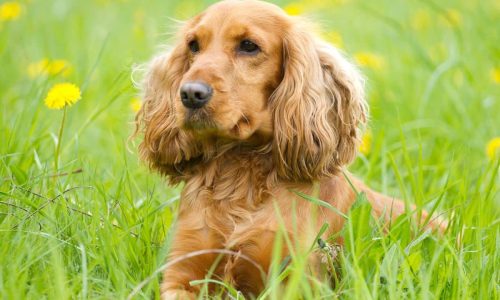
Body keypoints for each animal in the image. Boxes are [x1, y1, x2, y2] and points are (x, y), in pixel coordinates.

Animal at [133, 0, 446, 298]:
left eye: (249, 46)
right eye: (193, 45)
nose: (189, 94)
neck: (241, 172)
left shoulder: (295, 279)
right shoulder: (183, 273)